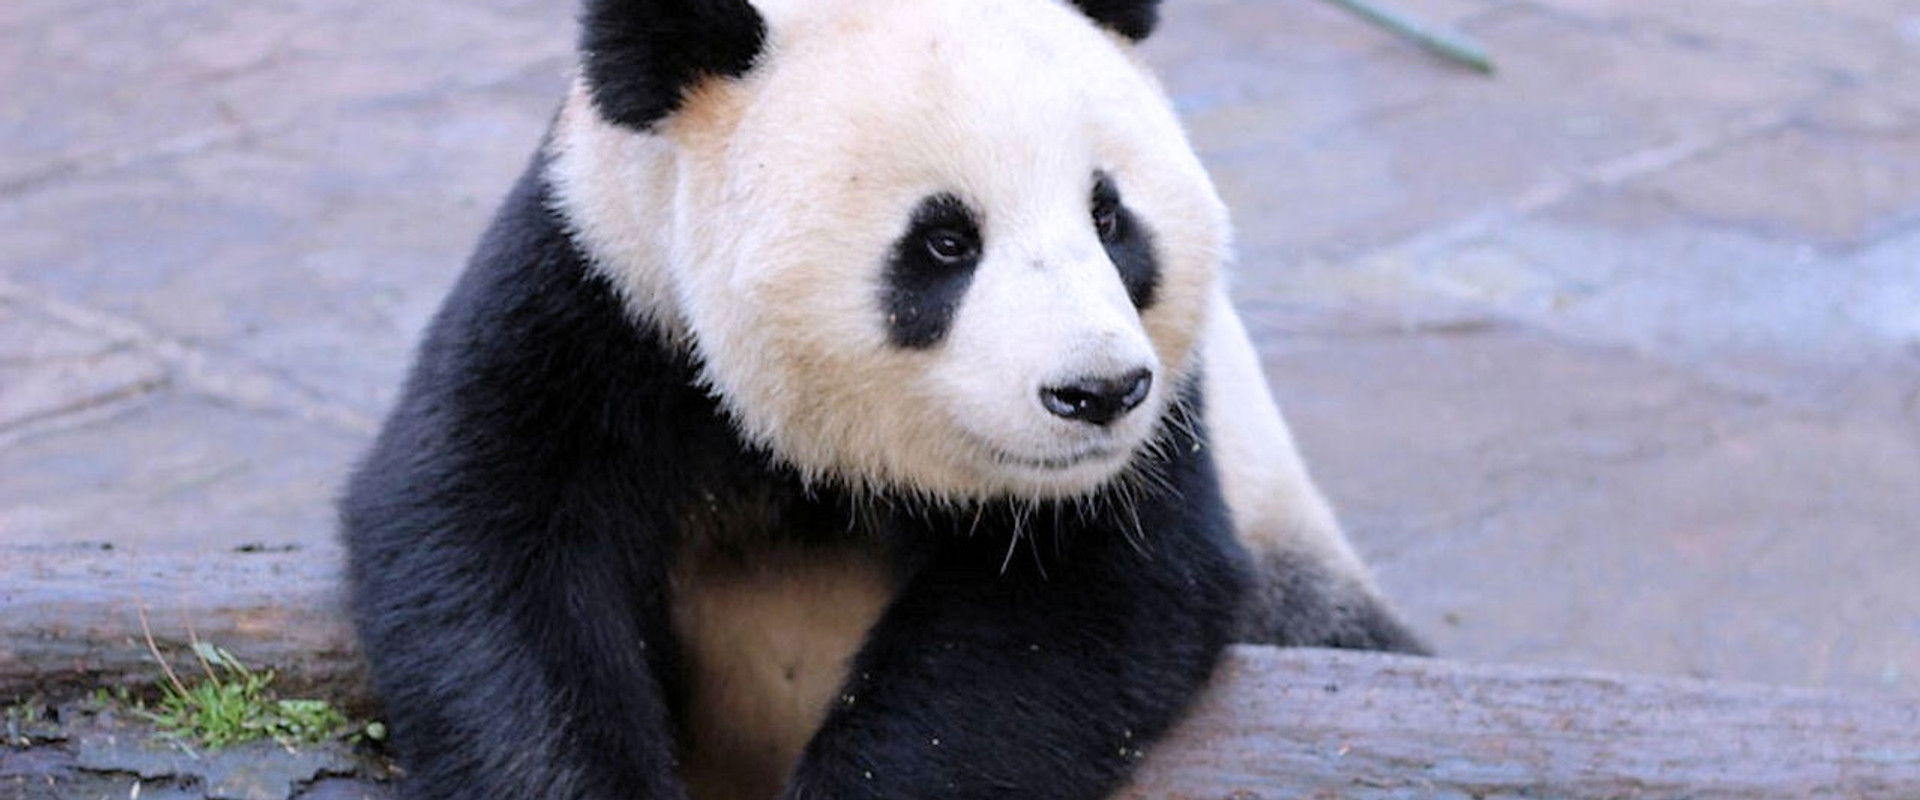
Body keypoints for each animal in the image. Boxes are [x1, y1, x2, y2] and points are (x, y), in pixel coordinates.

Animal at [339, 1, 1425, 799]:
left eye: (1111, 218)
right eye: (944, 241)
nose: (1099, 392)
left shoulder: (1161, 441)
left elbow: (1079, 607)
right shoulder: (602, 296)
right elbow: (485, 545)